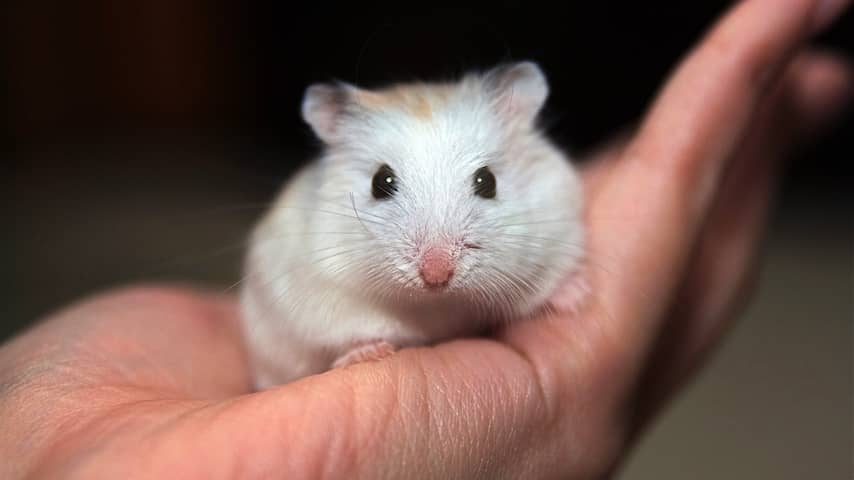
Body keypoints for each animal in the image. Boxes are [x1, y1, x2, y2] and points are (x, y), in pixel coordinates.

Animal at [239, 61, 585, 389]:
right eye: (381, 182)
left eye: (488, 181)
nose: (436, 276)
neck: (437, 303)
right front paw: (367, 353)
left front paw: (577, 294)